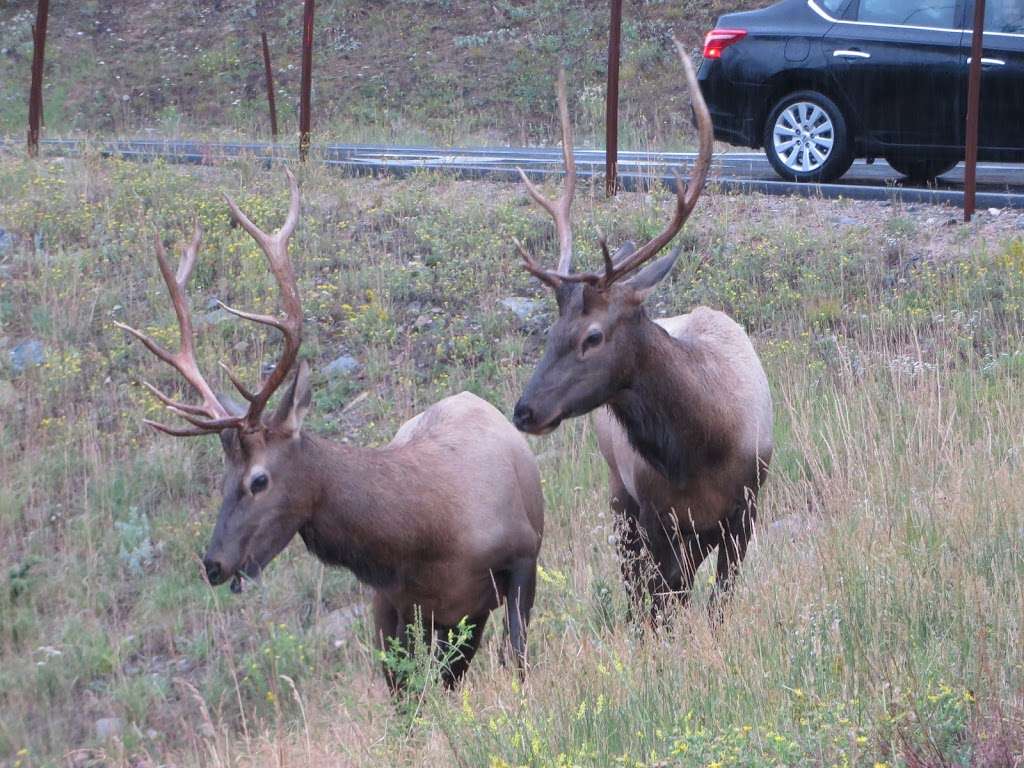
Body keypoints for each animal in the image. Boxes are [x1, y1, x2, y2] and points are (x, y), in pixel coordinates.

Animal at [118, 171, 544, 688]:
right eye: (221, 479)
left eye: (259, 480)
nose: (214, 564)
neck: (431, 535)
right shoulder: (391, 602)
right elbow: (404, 695)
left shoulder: (520, 560)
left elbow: (518, 659)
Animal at [507, 39, 770, 622]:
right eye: (550, 331)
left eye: (593, 336)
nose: (525, 410)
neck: (705, 446)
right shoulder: (655, 514)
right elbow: (661, 604)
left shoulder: (746, 511)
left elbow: (717, 605)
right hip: (620, 500)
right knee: (640, 591)